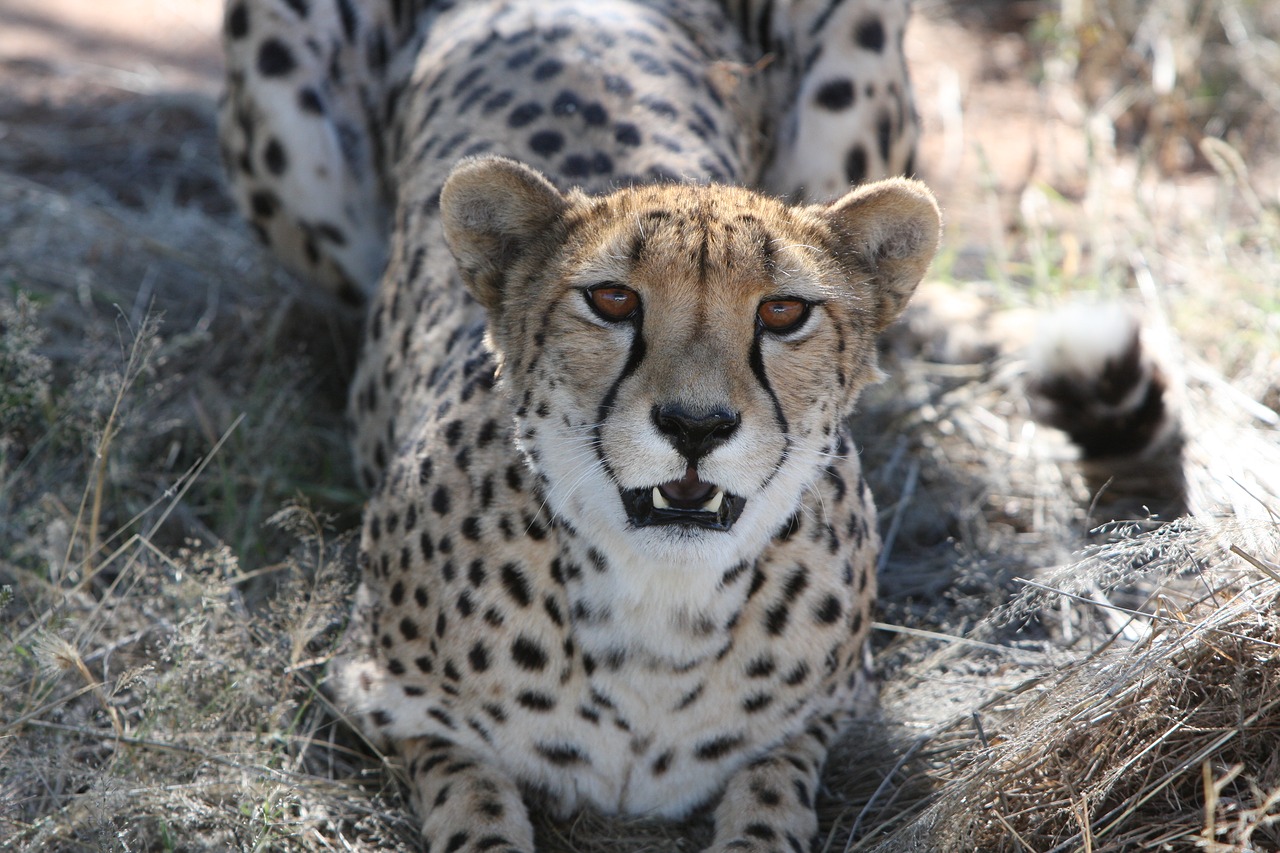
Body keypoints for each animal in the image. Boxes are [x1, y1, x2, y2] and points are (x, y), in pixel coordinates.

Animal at [217, 0, 1172, 845]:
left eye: (784, 312)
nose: (697, 424)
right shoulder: (382, 692)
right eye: (611, 300)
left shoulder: (827, 712)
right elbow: (473, 801)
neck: (658, 599)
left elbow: (771, 796)